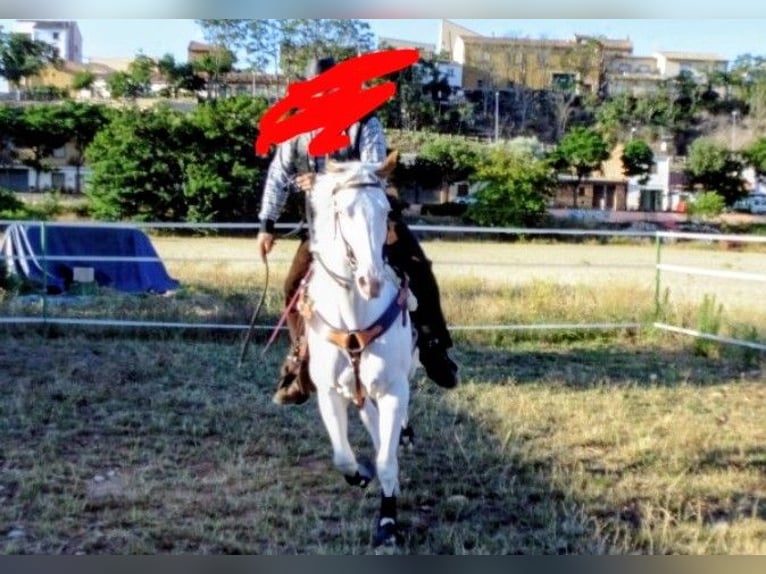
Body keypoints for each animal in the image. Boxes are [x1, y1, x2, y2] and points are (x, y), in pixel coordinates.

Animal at [299, 151, 414, 548]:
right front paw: (361, 475)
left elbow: (387, 462)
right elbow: (343, 458)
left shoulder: (395, 391)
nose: (371, 282)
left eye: (386, 211)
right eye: (343, 212)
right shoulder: (330, 392)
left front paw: (388, 523)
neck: (353, 317)